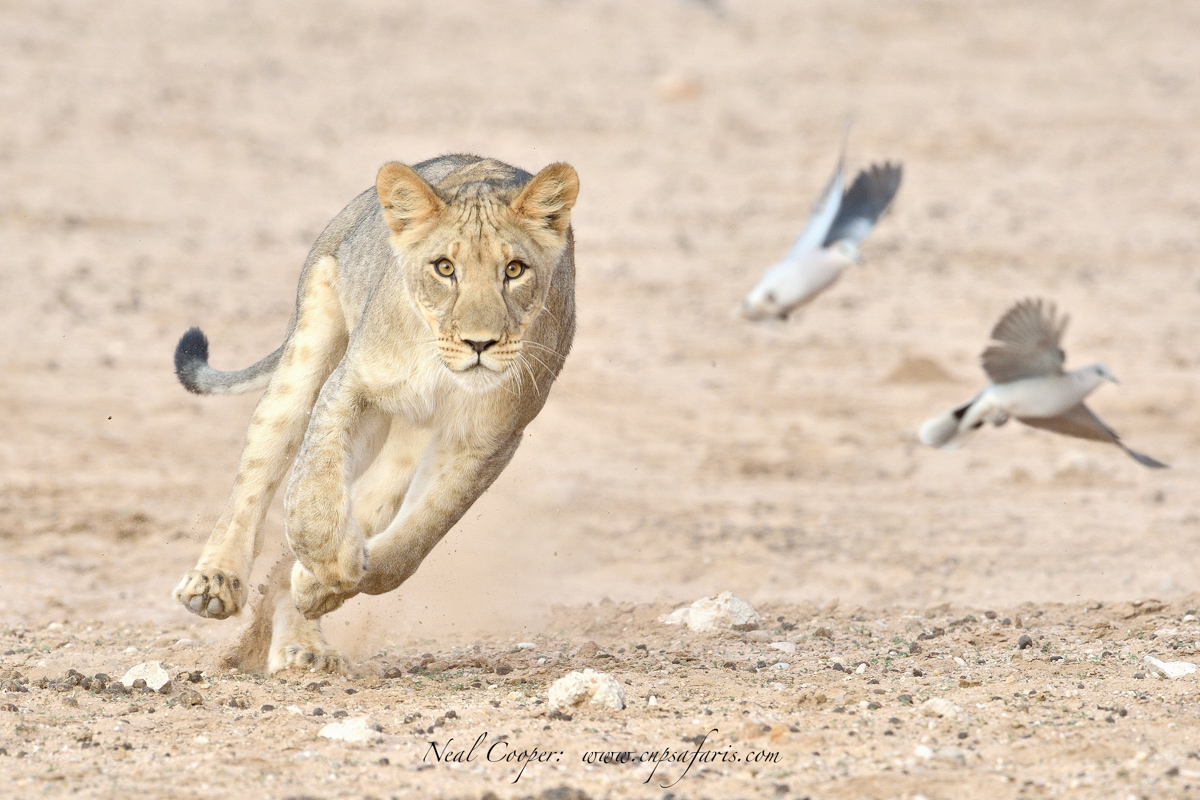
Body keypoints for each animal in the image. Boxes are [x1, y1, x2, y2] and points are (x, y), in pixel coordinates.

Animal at [171, 154, 579, 674]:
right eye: (445, 268)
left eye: (514, 269)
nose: (479, 343)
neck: (440, 367)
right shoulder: (351, 384)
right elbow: (310, 500)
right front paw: (331, 565)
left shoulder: (488, 438)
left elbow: (416, 539)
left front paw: (319, 585)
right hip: (308, 349)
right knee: (257, 477)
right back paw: (215, 584)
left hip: (403, 442)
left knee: (367, 505)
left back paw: (304, 641)